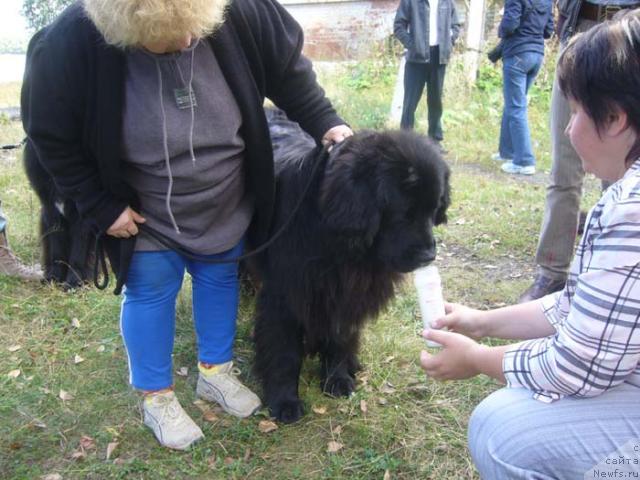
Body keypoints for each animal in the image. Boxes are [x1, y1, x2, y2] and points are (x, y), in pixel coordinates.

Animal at [252, 109, 452, 424]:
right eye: (403, 214)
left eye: (434, 210)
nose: (428, 256)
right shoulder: (287, 293)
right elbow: (284, 349)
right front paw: (284, 400)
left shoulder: (346, 293)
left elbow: (340, 336)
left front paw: (337, 378)